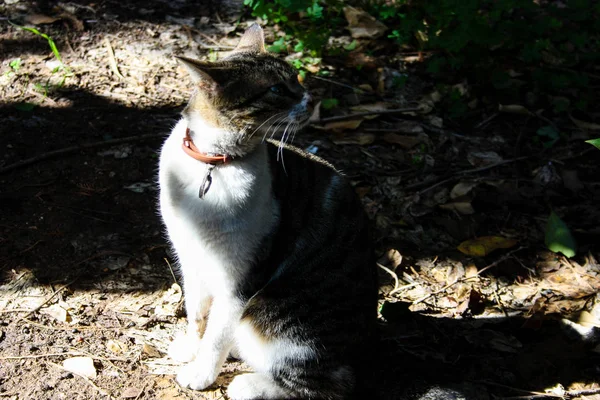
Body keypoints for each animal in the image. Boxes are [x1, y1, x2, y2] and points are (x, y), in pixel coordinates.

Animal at [157, 25, 378, 400]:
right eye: (276, 88)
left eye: (297, 79)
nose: (311, 99)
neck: (214, 164)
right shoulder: (189, 257)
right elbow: (196, 314)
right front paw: (189, 347)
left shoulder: (240, 280)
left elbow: (216, 337)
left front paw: (201, 373)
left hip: (281, 323)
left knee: (331, 383)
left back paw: (249, 383)